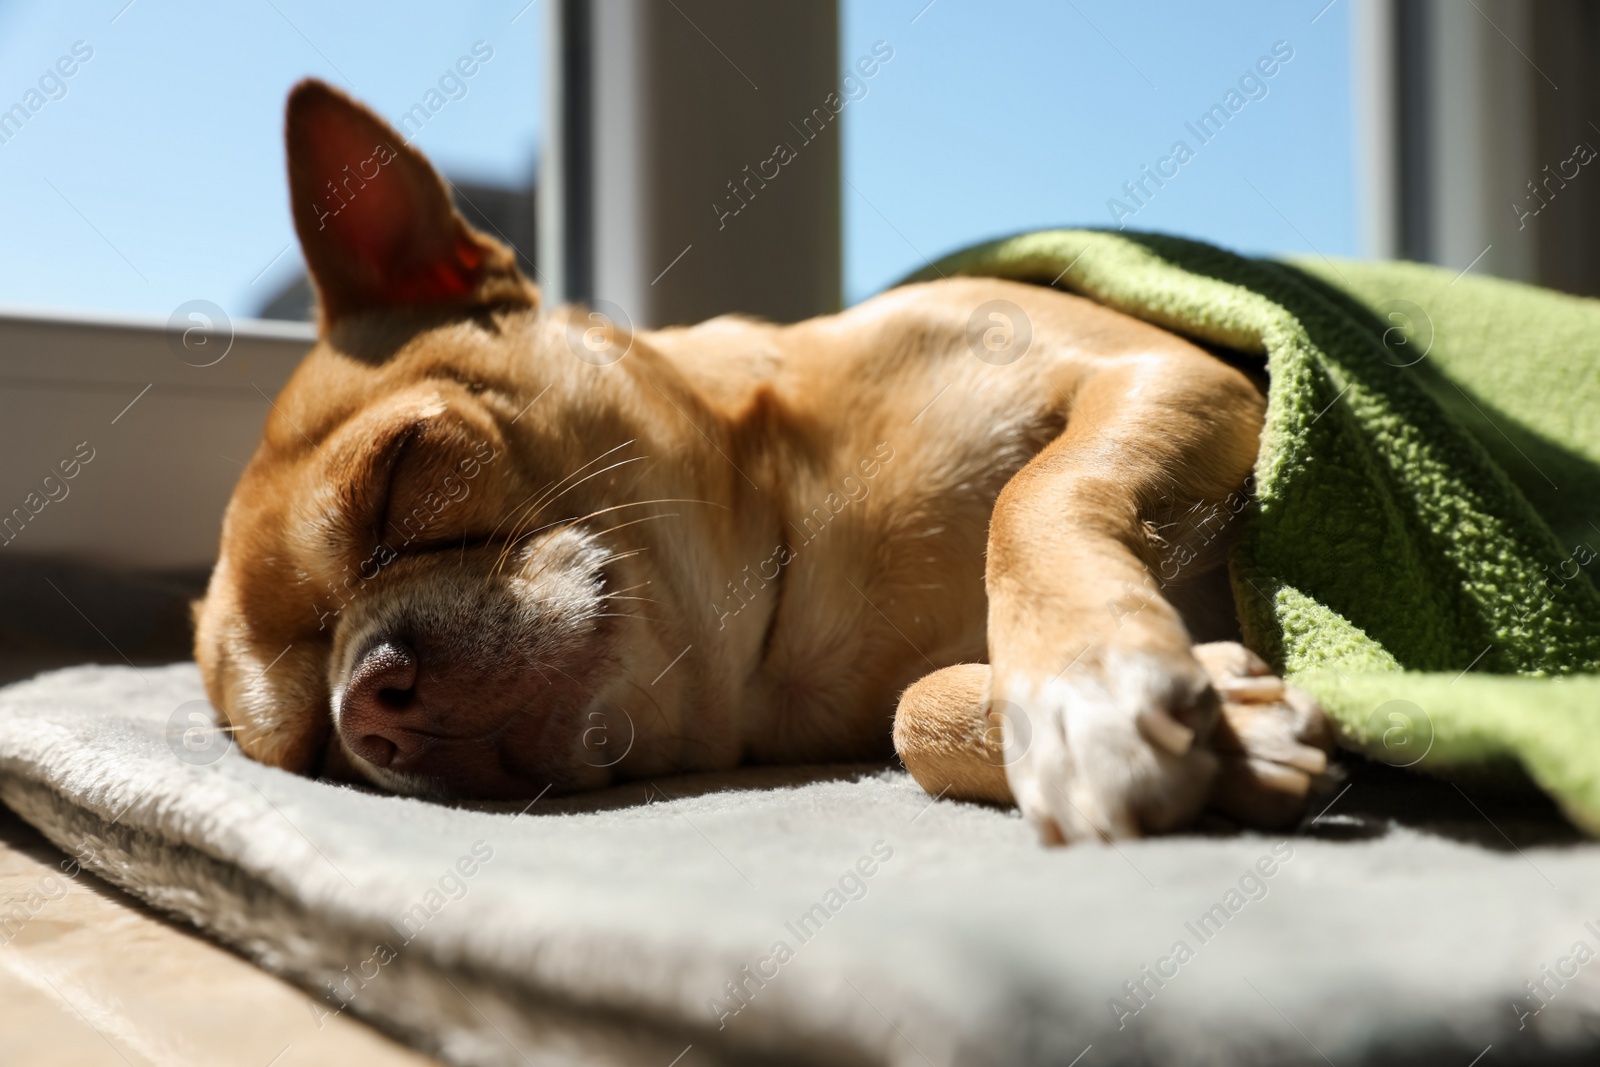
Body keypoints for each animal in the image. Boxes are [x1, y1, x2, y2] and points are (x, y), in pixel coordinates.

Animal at [193, 81, 1331, 844]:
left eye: (403, 480)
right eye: (313, 748)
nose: (364, 703)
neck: (792, 597)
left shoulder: (1169, 369)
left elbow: (1036, 493)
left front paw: (1084, 678)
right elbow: (911, 714)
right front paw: (1212, 722)